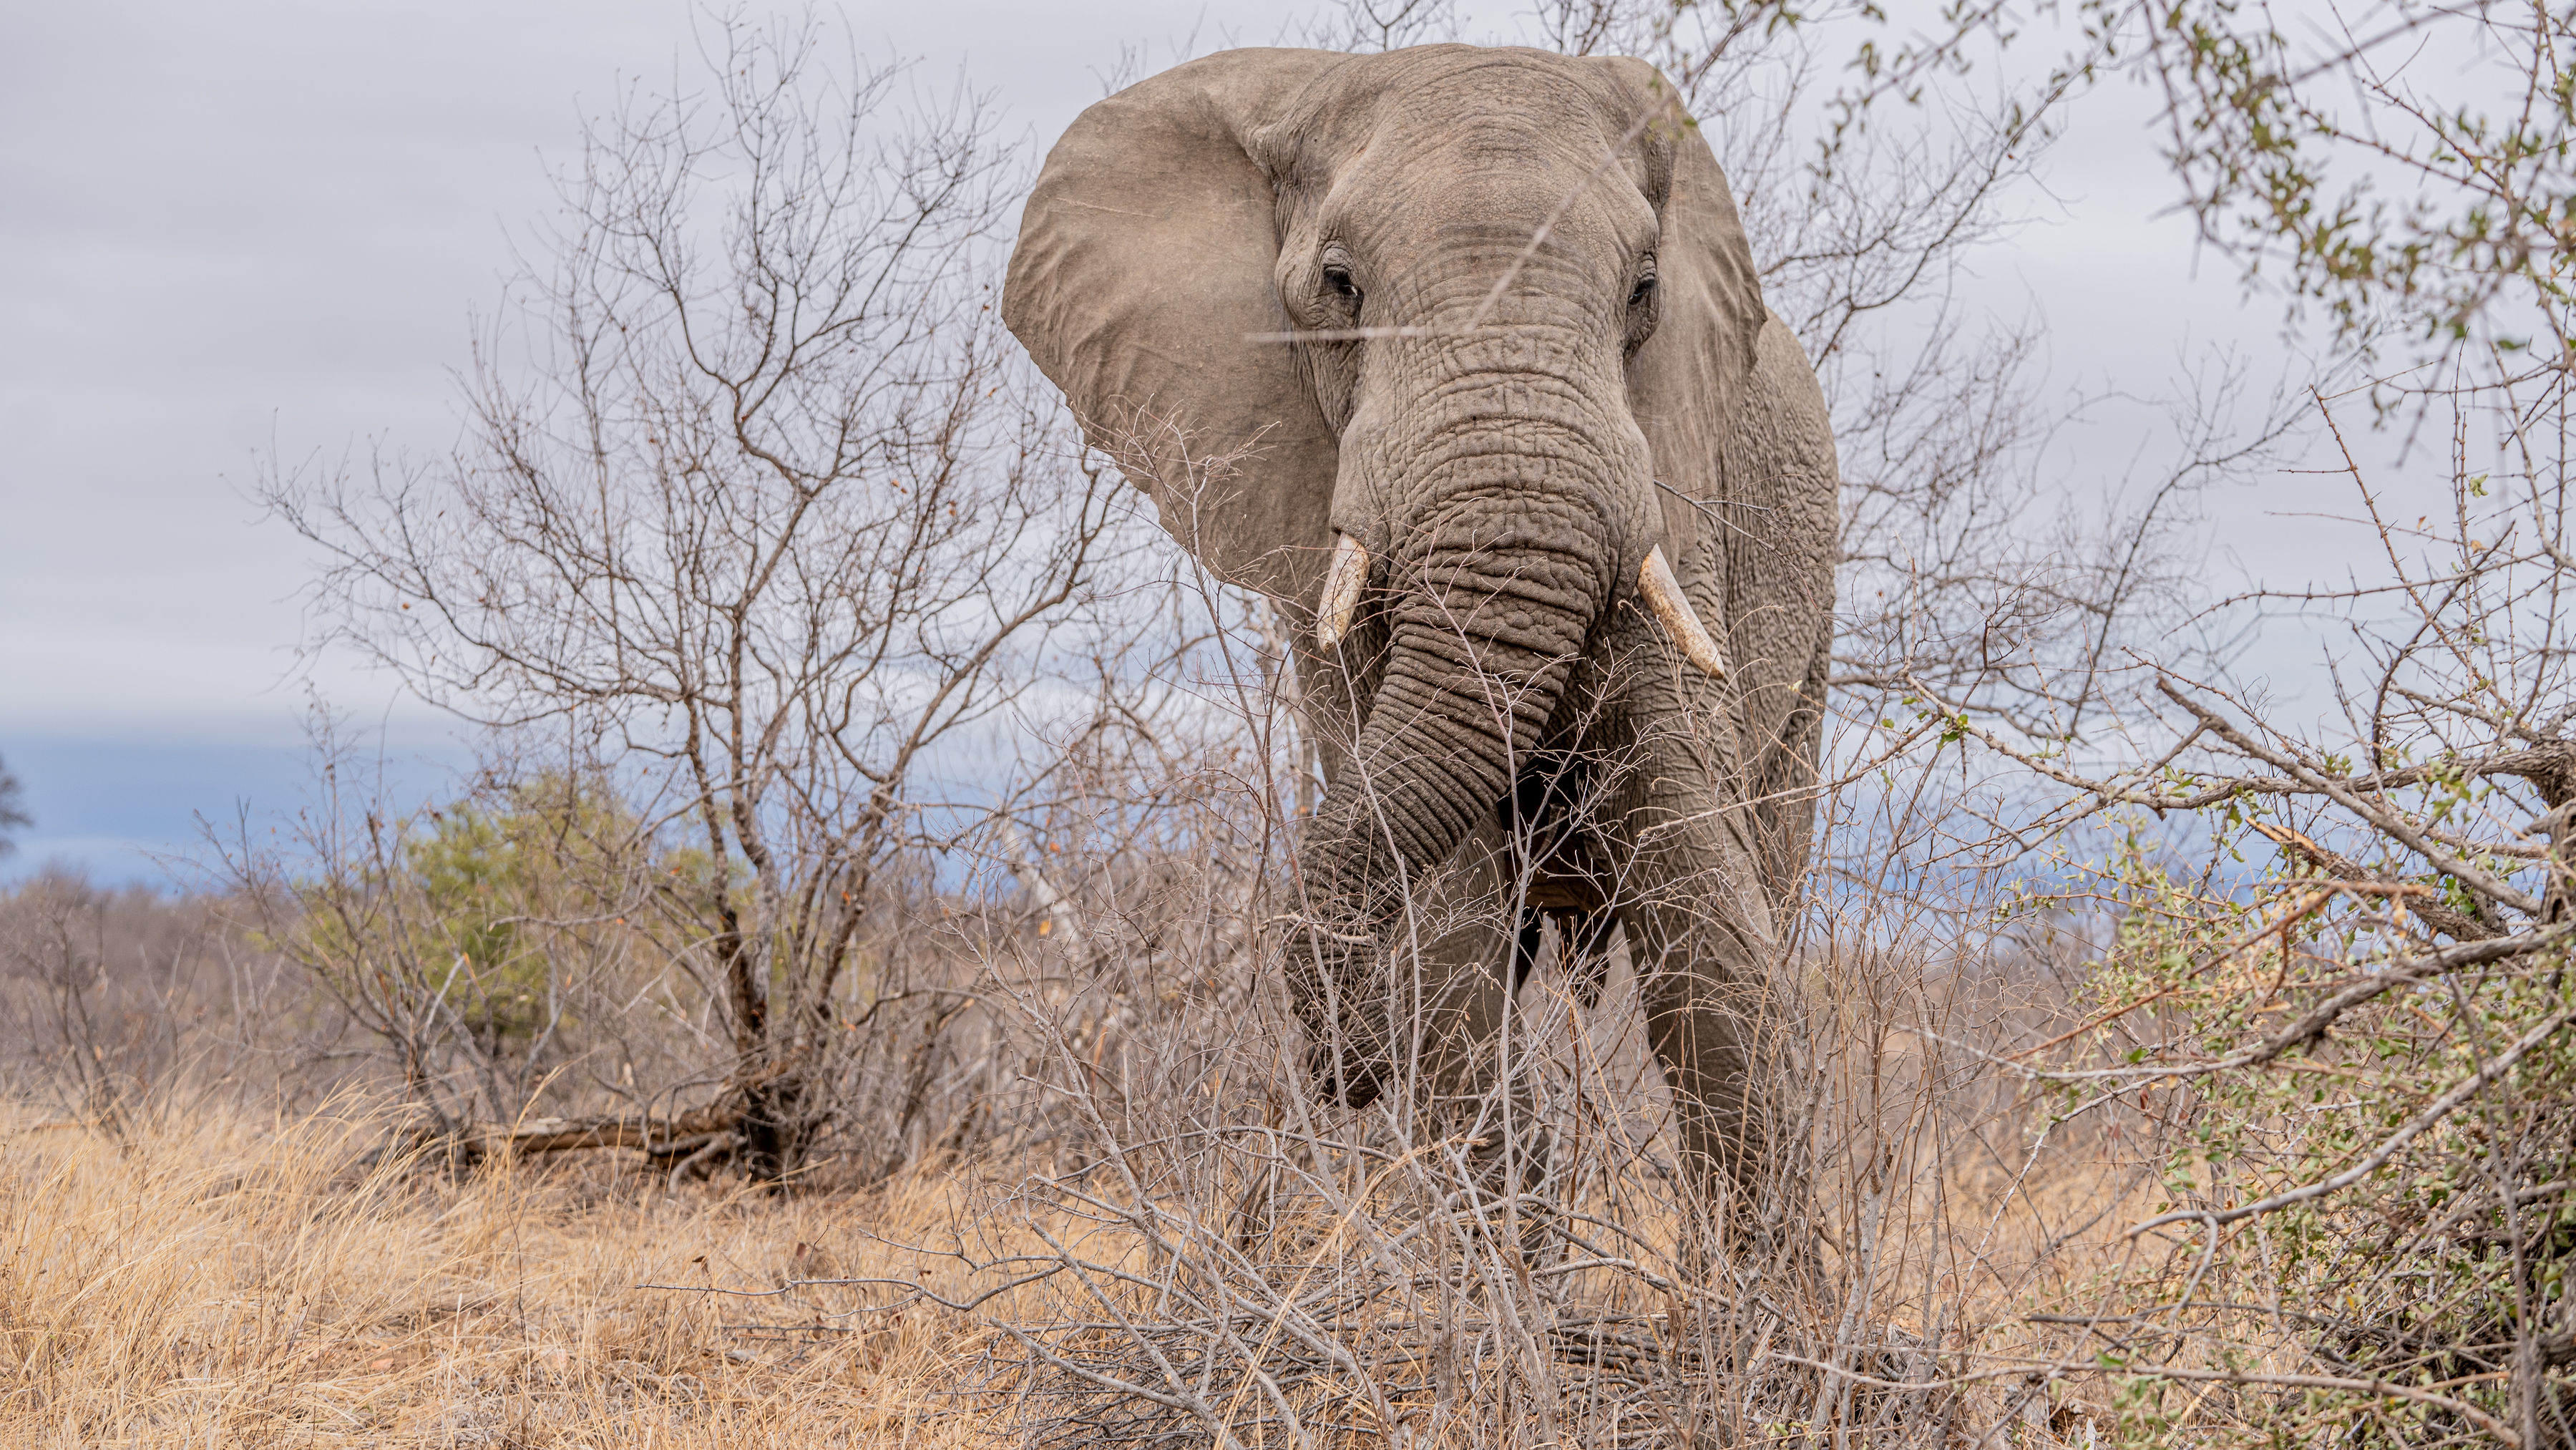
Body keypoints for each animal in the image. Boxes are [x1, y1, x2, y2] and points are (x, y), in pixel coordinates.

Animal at [1004, 44, 1838, 1263]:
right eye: (1339, 284)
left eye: (1644, 287)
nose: (1341, 1072)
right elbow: (1446, 930)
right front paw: (1515, 1302)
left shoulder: (1682, 502)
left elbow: (1709, 906)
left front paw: (1765, 1318)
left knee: (1770, 851)